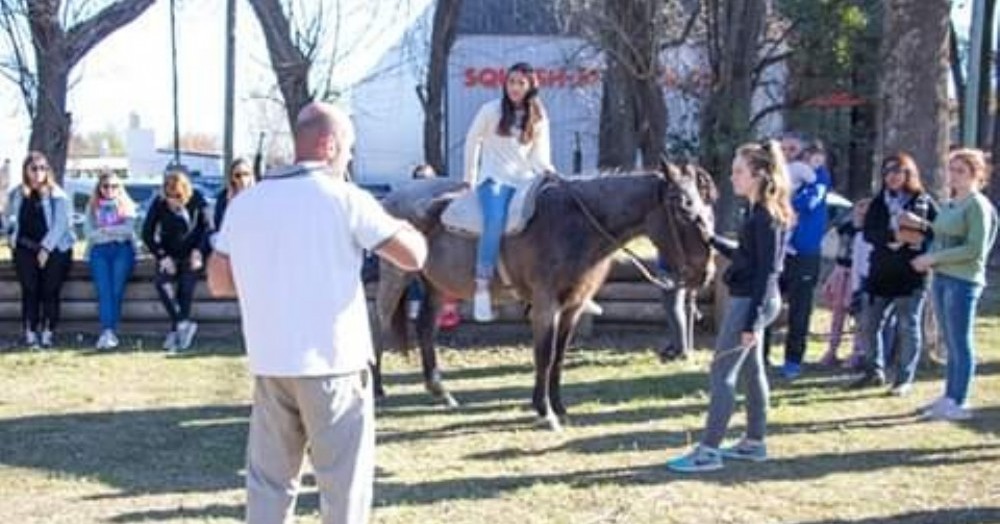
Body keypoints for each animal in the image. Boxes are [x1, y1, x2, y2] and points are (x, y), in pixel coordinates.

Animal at [372, 163, 716, 430]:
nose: (705, 273)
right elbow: (544, 355)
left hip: (437, 286)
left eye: (703, 205)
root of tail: (391, 198)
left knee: (425, 329)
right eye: (683, 208)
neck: (575, 223)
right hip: (395, 277)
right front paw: (544, 411)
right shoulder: (545, 304)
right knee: (379, 325)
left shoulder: (572, 307)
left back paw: (441, 392)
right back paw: (377, 389)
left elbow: (559, 356)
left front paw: (559, 407)